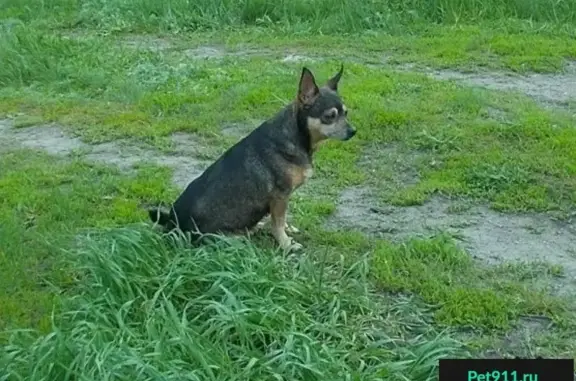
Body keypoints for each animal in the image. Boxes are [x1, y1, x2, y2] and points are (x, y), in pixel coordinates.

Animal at [148, 63, 356, 251]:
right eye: (330, 116)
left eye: (346, 113)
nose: (353, 131)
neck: (296, 135)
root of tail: (172, 224)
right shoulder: (280, 196)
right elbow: (278, 223)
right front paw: (286, 244)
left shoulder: (282, 200)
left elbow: (281, 220)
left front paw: (286, 231)